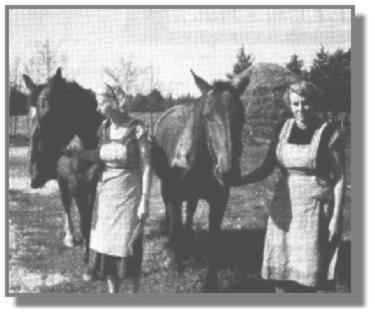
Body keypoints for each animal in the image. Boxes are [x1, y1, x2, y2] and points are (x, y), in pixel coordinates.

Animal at [23, 67, 103, 262]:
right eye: (28, 119)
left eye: (49, 115)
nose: (35, 176)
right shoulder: (74, 182)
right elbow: (82, 220)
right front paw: (86, 259)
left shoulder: (92, 183)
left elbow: (88, 217)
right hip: (62, 180)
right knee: (66, 203)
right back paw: (69, 236)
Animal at [151, 68, 253, 288]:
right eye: (207, 116)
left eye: (241, 114)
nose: (227, 172)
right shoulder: (174, 195)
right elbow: (176, 226)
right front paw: (178, 264)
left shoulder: (219, 201)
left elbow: (213, 238)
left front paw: (210, 282)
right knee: (171, 214)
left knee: (190, 210)